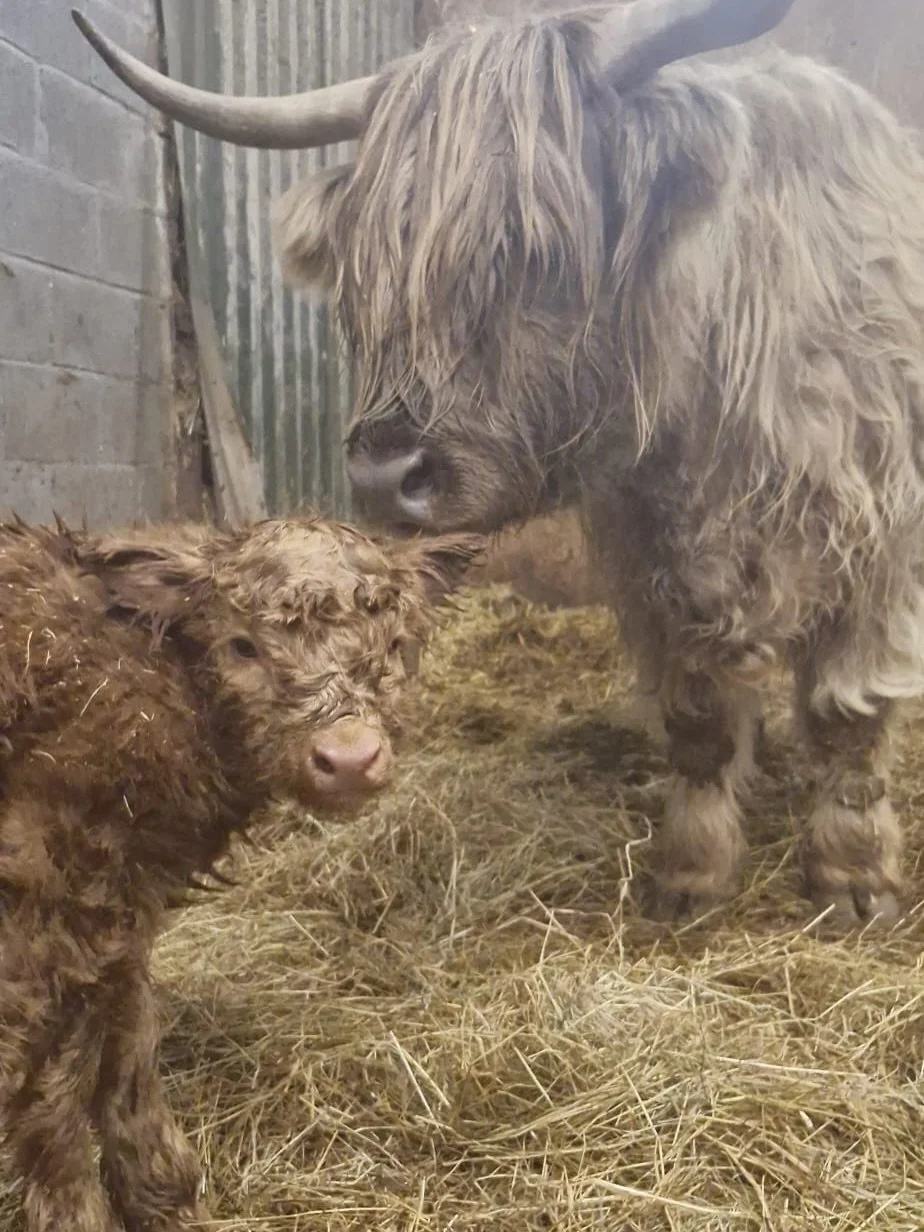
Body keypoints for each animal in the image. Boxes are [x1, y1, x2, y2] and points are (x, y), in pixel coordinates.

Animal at [0, 513, 481, 1232]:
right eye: (243, 647)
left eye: (397, 646)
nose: (348, 757)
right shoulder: (45, 921)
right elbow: (54, 1100)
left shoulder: (118, 914)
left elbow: (128, 1055)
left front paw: (168, 1202)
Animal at [72, 0, 924, 930]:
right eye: (367, 271)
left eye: (537, 253)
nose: (384, 478)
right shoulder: (653, 565)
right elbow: (698, 715)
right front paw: (689, 877)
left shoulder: (872, 548)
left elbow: (848, 715)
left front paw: (854, 881)